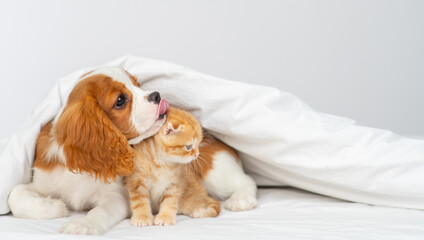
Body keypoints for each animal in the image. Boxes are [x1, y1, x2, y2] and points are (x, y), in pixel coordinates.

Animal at [6, 67, 169, 234]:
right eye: (120, 100)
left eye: (138, 85)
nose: (157, 95)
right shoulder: (43, 180)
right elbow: (15, 193)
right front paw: (52, 207)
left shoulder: (117, 195)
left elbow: (100, 211)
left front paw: (82, 225)